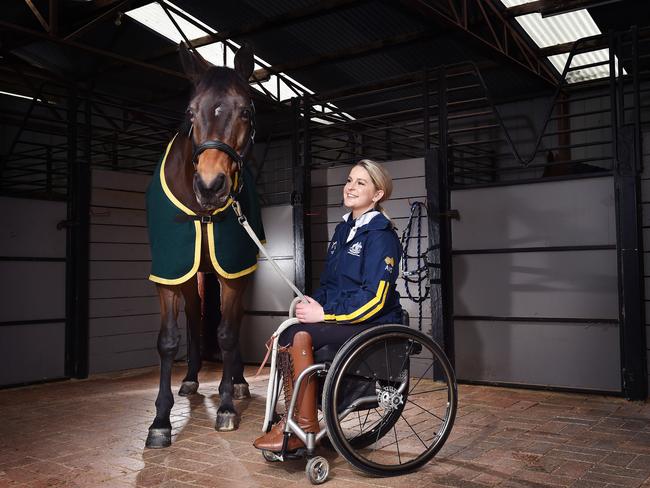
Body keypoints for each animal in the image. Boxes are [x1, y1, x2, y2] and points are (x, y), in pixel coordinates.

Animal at [143, 43, 262, 448]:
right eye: (190, 112)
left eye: (246, 111)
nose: (210, 186)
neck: (203, 214)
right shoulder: (170, 272)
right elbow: (167, 340)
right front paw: (160, 421)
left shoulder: (232, 272)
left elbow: (226, 333)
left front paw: (226, 406)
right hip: (193, 276)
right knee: (195, 321)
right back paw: (191, 379)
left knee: (233, 323)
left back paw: (238, 383)